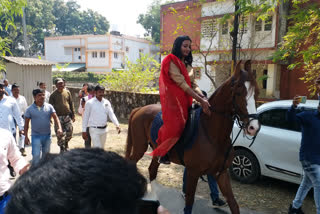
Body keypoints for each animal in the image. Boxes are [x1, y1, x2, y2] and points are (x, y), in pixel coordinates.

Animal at [125, 61, 260, 212]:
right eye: (238, 93)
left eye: (256, 93)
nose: (254, 127)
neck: (212, 134)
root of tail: (140, 109)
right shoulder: (192, 172)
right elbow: (189, 202)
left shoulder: (221, 173)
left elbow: (233, 203)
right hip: (139, 147)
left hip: (156, 150)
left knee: (152, 170)